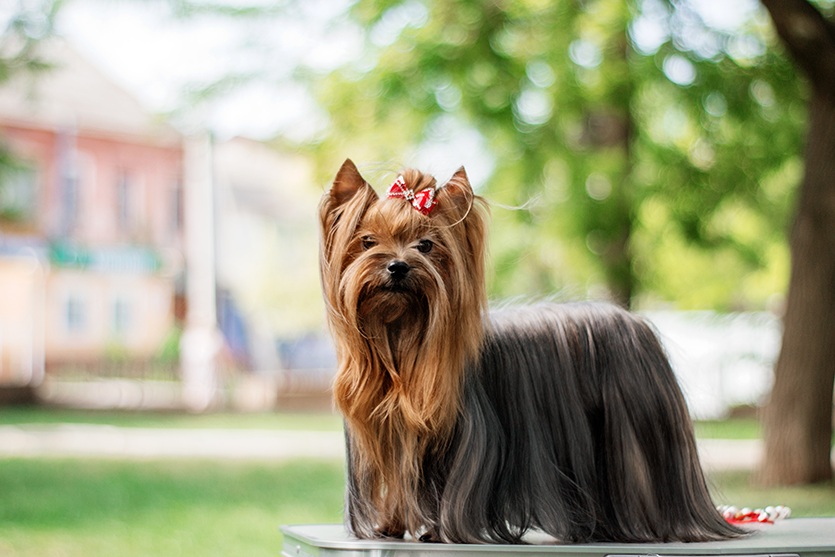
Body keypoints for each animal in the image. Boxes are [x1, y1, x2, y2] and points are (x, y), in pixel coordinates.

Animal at [320, 157, 744, 544]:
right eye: (367, 241)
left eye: (426, 245)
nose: (397, 266)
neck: (400, 337)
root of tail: (635, 323)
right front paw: (391, 526)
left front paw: (436, 531)